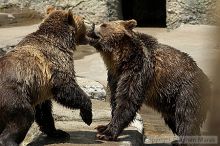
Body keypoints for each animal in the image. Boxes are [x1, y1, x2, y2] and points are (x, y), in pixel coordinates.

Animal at [0, 8, 93, 146]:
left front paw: (58, 132)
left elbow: (44, 111)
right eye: (83, 18)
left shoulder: (39, 85)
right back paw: (10, 141)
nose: (93, 24)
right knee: (23, 116)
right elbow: (66, 88)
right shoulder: (55, 62)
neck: (62, 41)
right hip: (12, 94)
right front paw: (87, 116)